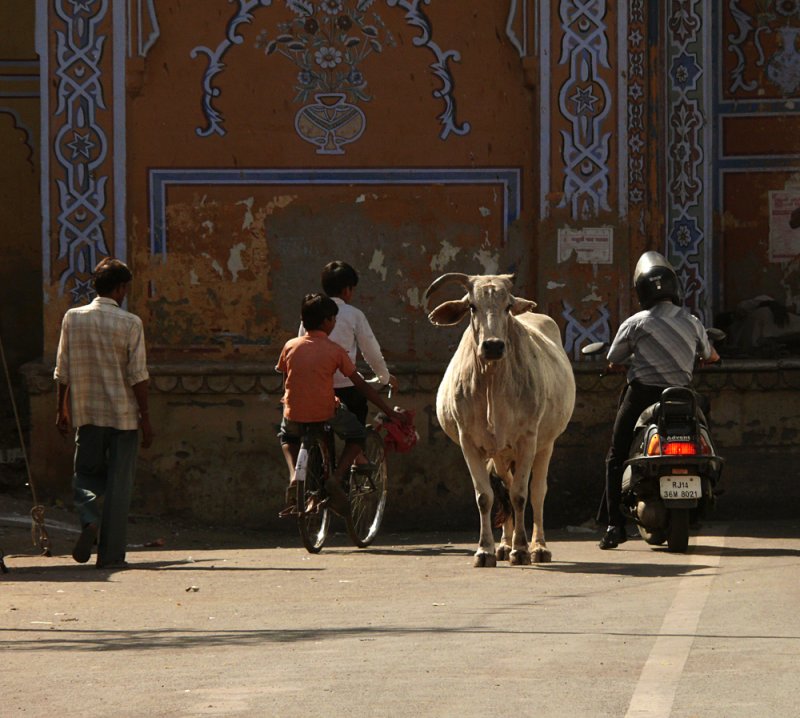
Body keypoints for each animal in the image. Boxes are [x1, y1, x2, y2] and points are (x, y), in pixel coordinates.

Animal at [424, 274, 576, 568]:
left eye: (507, 306)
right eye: (472, 306)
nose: (493, 345)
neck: (492, 381)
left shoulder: (528, 440)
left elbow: (521, 495)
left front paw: (522, 549)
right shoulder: (469, 443)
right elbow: (486, 496)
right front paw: (486, 550)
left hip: (546, 443)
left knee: (537, 492)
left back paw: (538, 547)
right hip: (500, 453)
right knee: (504, 487)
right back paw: (504, 545)